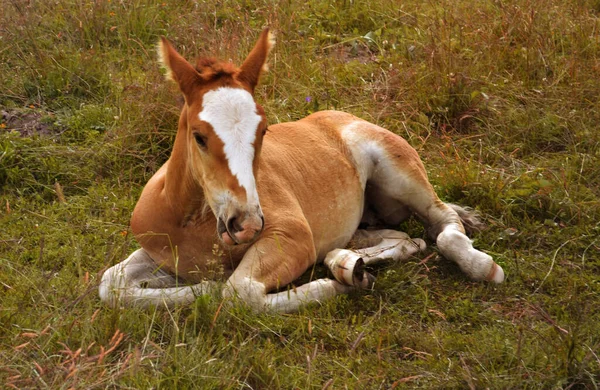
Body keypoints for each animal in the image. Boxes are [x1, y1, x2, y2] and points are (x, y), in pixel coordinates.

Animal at [98, 28, 502, 314]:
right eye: (198, 136)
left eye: (263, 130)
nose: (245, 224)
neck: (191, 220)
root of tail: (344, 117)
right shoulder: (158, 253)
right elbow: (111, 284)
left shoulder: (292, 235)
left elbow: (238, 292)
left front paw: (330, 287)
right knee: (405, 239)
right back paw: (348, 263)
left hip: (398, 170)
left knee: (443, 223)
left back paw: (479, 265)